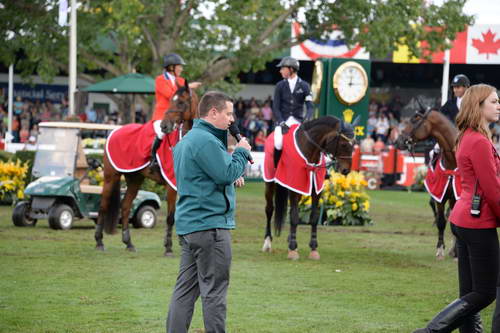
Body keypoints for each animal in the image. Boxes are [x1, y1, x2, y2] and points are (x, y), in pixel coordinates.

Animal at [94, 81, 198, 253]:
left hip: (135, 179)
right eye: (171, 101)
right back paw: (99, 242)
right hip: (111, 177)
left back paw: (129, 243)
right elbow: (171, 217)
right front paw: (168, 248)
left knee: (125, 206)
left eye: (181, 102)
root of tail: (115, 131)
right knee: (103, 206)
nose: (164, 126)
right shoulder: (171, 186)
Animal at [262, 116, 356, 260]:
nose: (346, 170)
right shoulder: (294, 188)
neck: (310, 151)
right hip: (270, 183)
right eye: (343, 144)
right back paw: (267, 242)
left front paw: (313, 248)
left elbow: (314, 217)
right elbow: (294, 216)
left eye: (354, 144)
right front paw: (293, 249)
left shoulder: (316, 190)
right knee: (269, 209)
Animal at [396, 107, 458, 258]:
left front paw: (455, 252)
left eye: (415, 119)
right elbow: (441, 222)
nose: (398, 141)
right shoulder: (440, 196)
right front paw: (440, 249)